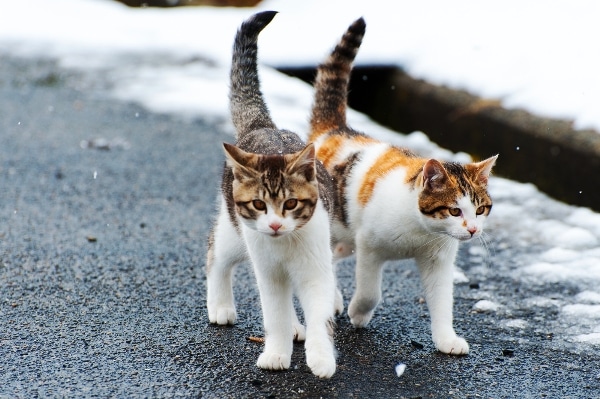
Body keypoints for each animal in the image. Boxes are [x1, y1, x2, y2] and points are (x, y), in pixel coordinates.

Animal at [205, 10, 338, 380]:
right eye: (259, 204)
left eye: (291, 203)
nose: (276, 225)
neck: (286, 245)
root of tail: (263, 126)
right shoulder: (267, 270)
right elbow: (273, 313)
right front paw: (276, 353)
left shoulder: (315, 268)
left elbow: (319, 312)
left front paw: (321, 358)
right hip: (237, 233)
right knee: (215, 252)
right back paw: (220, 305)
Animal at [310, 18, 496, 356]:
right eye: (454, 210)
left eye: (480, 209)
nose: (474, 230)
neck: (421, 231)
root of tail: (334, 131)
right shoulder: (369, 247)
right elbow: (370, 291)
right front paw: (359, 313)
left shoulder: (438, 259)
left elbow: (443, 302)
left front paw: (446, 339)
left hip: (344, 238)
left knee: (331, 257)